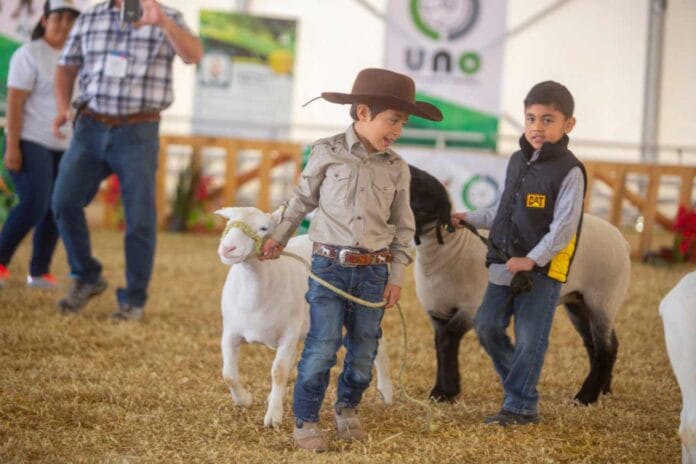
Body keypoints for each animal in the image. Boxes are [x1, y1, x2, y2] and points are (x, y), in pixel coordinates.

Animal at [215, 207, 394, 428]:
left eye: (264, 228)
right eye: (229, 220)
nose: (228, 248)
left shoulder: (288, 335)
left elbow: (279, 371)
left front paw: (273, 415)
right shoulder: (230, 333)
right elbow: (228, 375)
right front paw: (245, 399)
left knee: (379, 346)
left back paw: (387, 393)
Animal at [408, 165, 632, 404]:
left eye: (418, 202)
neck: (450, 251)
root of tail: (620, 238)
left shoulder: (470, 308)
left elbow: (448, 340)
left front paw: (445, 392)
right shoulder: (437, 311)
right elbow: (441, 344)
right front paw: (441, 391)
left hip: (603, 298)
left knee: (605, 348)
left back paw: (585, 397)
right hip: (578, 301)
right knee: (597, 344)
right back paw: (603, 390)